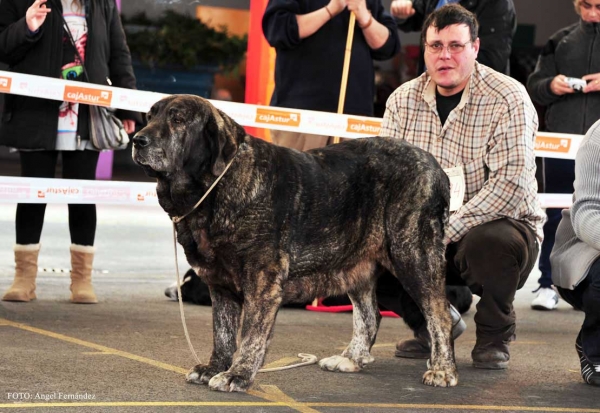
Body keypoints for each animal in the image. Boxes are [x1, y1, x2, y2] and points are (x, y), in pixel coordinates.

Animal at [131, 95, 458, 392]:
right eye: (149, 117)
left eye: (178, 120)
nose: (137, 140)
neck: (216, 186)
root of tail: (436, 166)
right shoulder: (219, 283)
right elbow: (222, 332)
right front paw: (214, 367)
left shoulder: (262, 281)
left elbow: (251, 333)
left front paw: (238, 374)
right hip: (356, 263)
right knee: (369, 315)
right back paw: (350, 359)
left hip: (412, 254)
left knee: (439, 314)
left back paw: (442, 369)